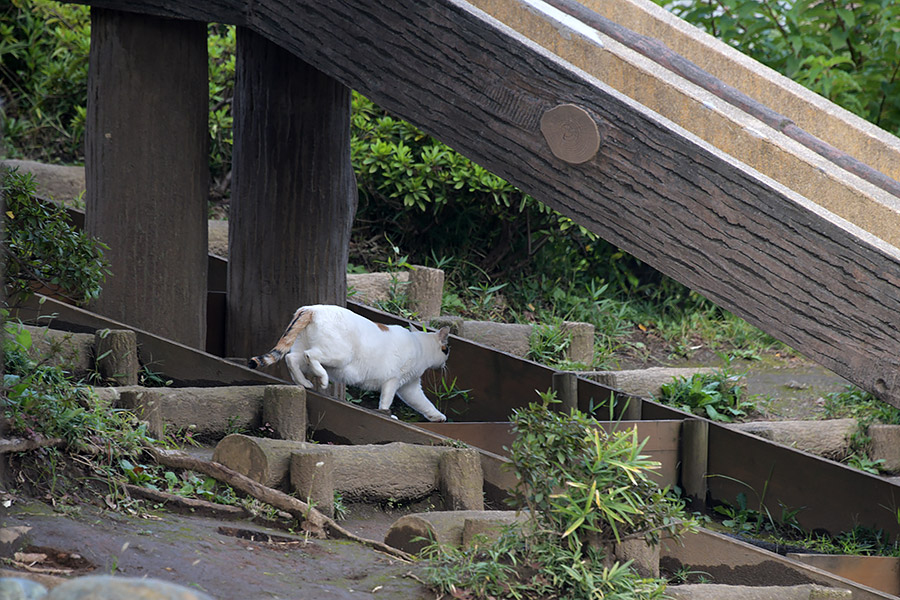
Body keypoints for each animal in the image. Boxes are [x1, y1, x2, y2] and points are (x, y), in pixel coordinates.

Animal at [248, 304, 450, 422]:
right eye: (447, 350)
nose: (445, 364)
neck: (419, 345)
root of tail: (312, 308)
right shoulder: (393, 381)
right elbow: (386, 400)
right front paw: (387, 414)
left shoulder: (410, 387)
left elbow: (424, 403)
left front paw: (438, 416)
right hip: (339, 354)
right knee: (311, 356)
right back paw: (322, 380)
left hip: (307, 351)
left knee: (292, 359)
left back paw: (304, 383)